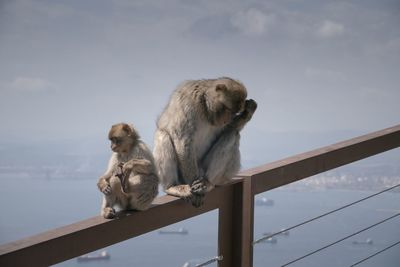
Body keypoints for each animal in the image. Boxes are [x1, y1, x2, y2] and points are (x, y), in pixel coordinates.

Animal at [153, 77, 256, 207]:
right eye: (228, 109)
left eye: (234, 113)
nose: (226, 119)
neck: (205, 108)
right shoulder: (188, 102)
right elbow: (183, 140)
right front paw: (194, 189)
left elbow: (230, 128)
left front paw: (248, 112)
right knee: (163, 135)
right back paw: (172, 186)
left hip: (216, 172)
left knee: (232, 135)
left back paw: (207, 183)